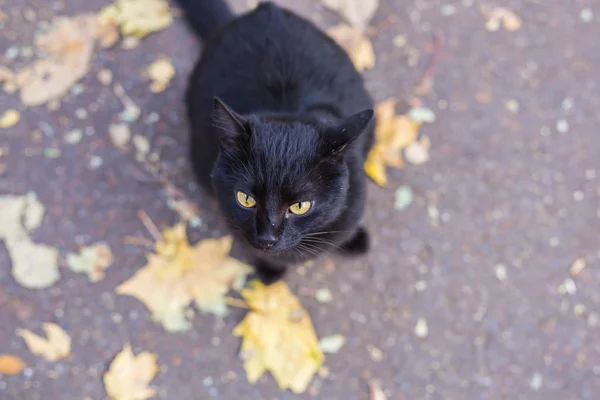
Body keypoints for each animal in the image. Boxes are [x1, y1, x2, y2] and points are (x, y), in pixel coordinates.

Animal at [176, 0, 378, 282]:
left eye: (301, 206)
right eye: (245, 199)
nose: (267, 238)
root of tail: (263, 11)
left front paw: (353, 240)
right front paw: (269, 271)